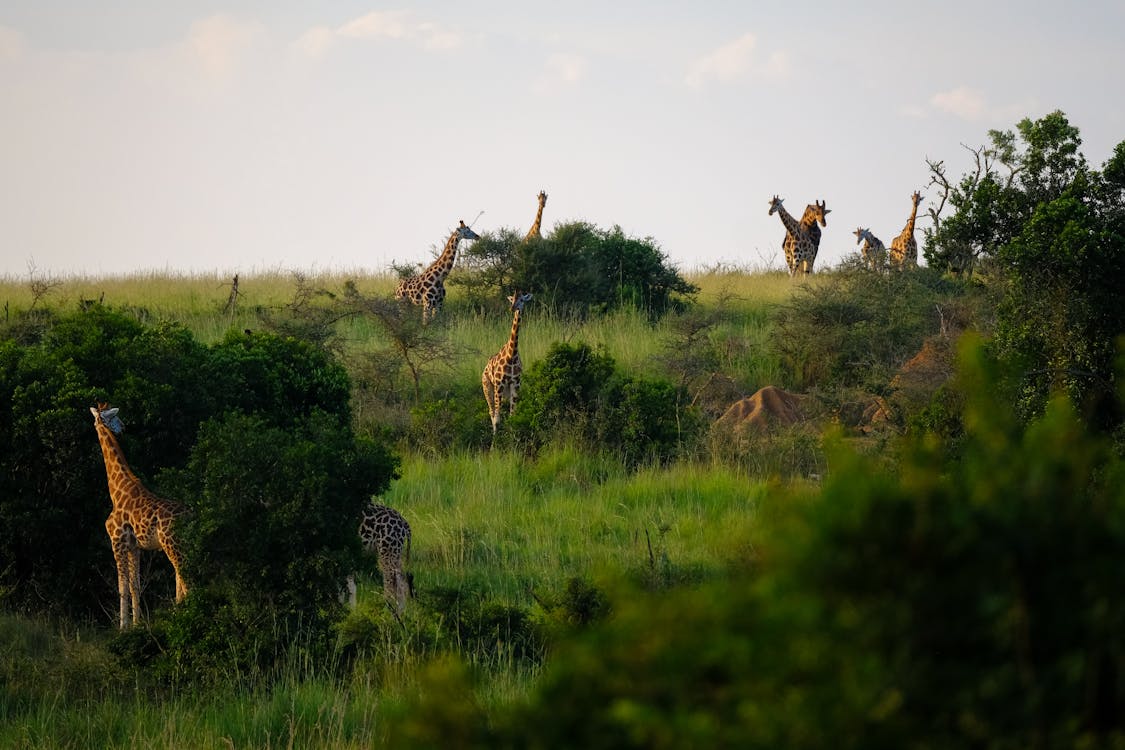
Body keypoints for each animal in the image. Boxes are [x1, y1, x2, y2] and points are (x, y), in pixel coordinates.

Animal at [89, 404, 189, 629]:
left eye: (114, 416)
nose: (123, 427)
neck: (116, 490)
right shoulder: (135, 546)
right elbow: (135, 584)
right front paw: (137, 624)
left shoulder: (117, 541)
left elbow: (122, 586)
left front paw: (123, 627)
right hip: (179, 545)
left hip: (172, 544)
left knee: (185, 575)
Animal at [481, 292, 533, 434]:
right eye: (512, 300)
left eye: (522, 300)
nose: (513, 308)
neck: (512, 355)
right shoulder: (499, 384)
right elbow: (497, 419)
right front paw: (496, 440)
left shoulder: (516, 383)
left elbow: (512, 415)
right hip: (488, 387)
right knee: (492, 413)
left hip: (505, 391)